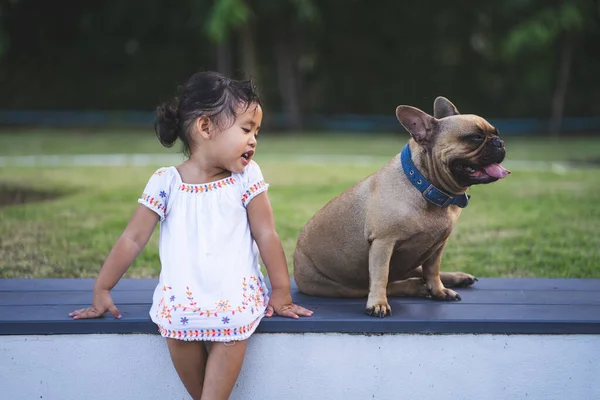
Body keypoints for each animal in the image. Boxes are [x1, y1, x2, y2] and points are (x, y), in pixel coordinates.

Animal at [292, 95, 508, 318]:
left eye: (496, 133)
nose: (500, 143)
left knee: (418, 272)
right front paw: (379, 304)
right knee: (386, 284)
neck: (425, 185)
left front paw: (439, 290)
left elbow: (433, 270)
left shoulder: (438, 245)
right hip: (341, 286)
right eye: (475, 137)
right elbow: (381, 276)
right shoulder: (383, 243)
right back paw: (415, 286)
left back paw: (457, 278)